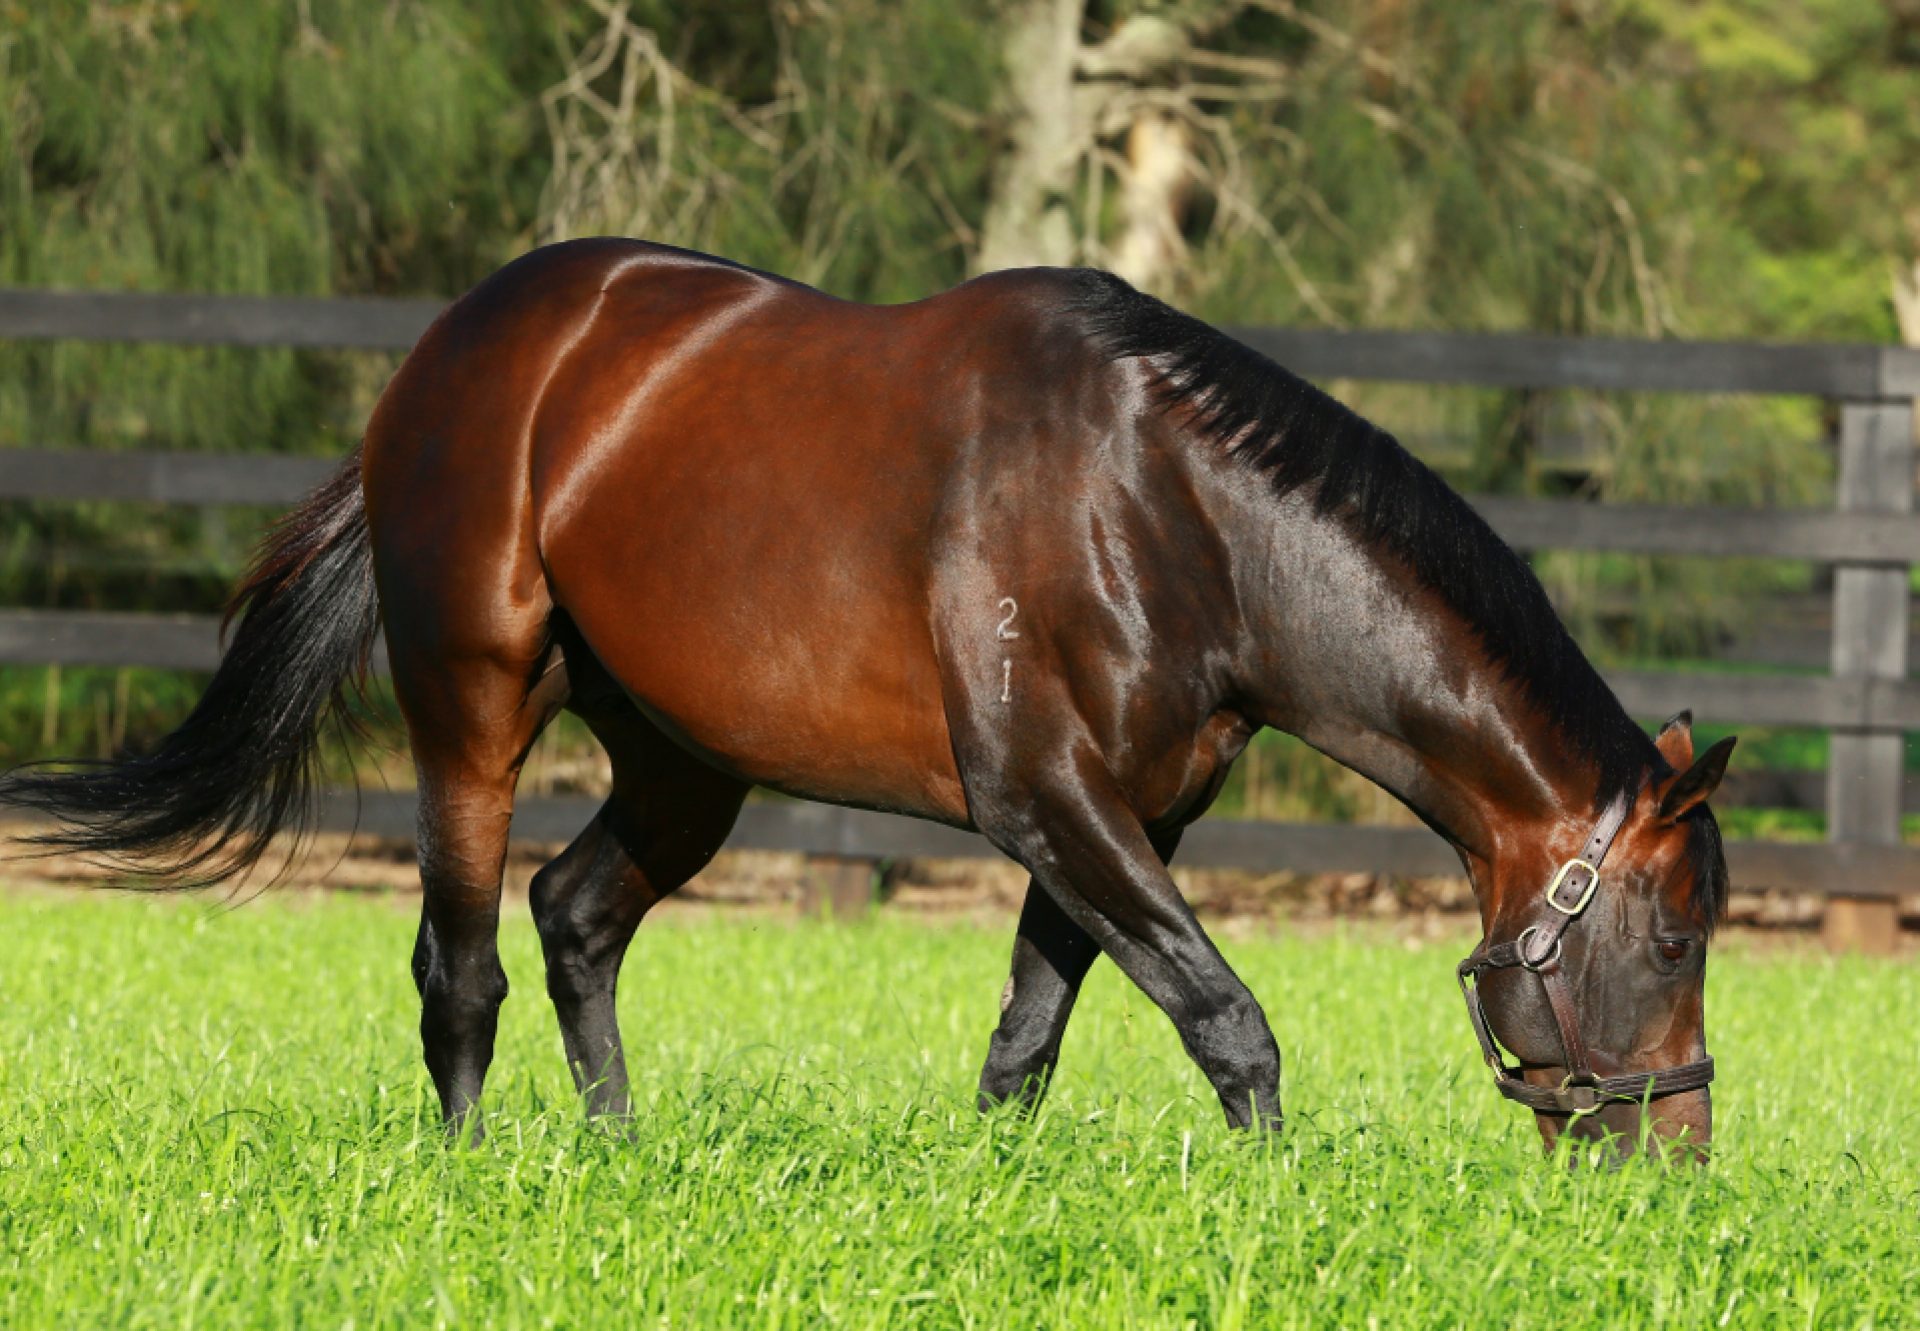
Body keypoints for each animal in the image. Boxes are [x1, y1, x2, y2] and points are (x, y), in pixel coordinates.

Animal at [3, 239, 1743, 1152]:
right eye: (1674, 931)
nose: (1673, 1150)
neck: (1166, 508)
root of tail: (457, 342)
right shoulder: (1045, 796)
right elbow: (1230, 1022)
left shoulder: (1121, 810)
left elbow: (1029, 1036)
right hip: (472, 697)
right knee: (462, 961)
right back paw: (472, 1162)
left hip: (684, 761)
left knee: (576, 916)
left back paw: (616, 1150)